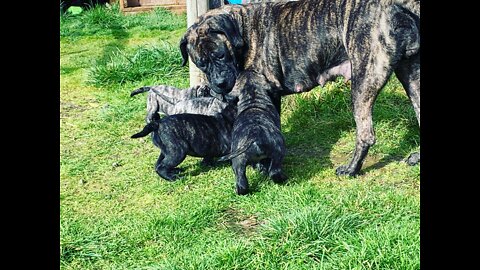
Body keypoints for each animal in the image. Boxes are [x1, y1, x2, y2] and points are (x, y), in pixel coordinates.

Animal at [179, 0, 420, 176]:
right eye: (201, 63)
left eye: (221, 55)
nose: (219, 83)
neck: (243, 30)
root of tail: (398, 8)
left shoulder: (266, 91)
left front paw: (263, 163)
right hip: (412, 77)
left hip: (363, 82)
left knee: (365, 134)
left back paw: (351, 169)